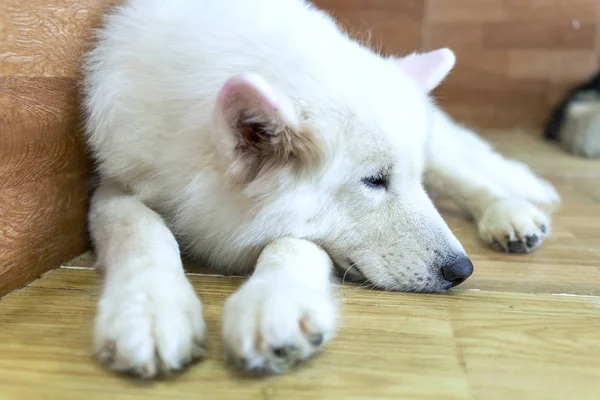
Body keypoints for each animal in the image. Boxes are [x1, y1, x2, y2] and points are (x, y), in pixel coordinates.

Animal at [82, 0, 560, 378]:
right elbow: (140, 230)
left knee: (468, 174)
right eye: (374, 181)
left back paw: (510, 213)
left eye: (406, 179)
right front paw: (147, 309)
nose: (462, 270)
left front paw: (275, 303)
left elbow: (293, 243)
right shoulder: (115, 185)